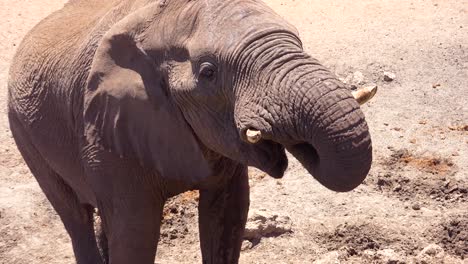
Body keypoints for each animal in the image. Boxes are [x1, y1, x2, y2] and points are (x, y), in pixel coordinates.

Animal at [6, 0, 372, 264]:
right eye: (208, 72)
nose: (297, 143)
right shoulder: (103, 132)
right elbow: (135, 233)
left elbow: (228, 214)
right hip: (21, 127)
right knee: (74, 215)